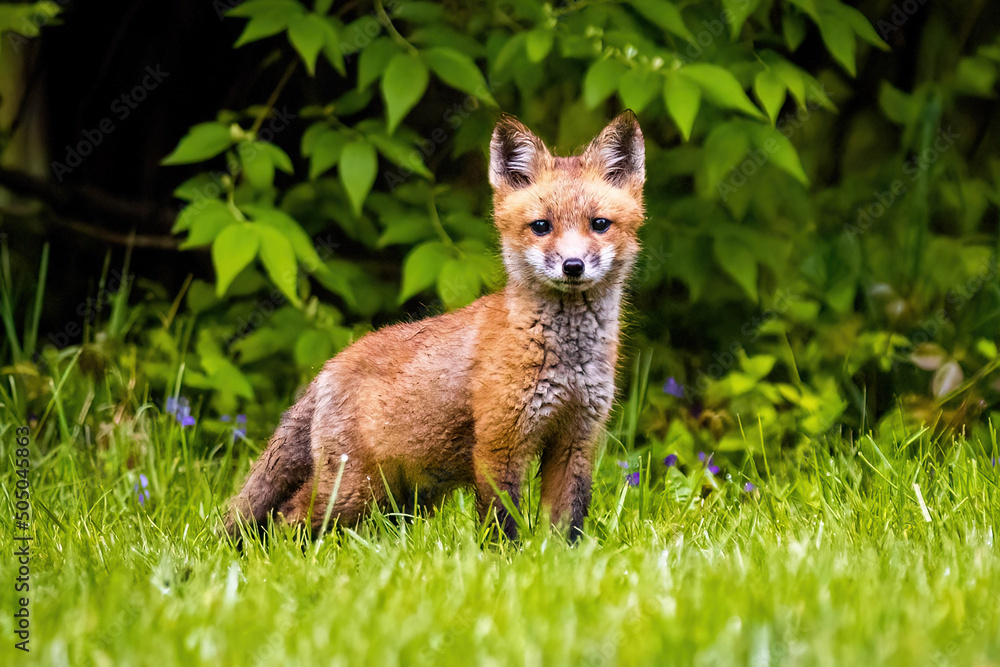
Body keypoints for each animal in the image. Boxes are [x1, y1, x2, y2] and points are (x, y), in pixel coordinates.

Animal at [224, 110, 645, 543]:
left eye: (600, 224)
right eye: (541, 226)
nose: (572, 266)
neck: (567, 358)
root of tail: (328, 367)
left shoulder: (576, 440)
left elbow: (568, 524)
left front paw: (562, 557)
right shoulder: (500, 443)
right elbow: (501, 523)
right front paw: (505, 558)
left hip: (401, 498)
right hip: (353, 490)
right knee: (287, 518)